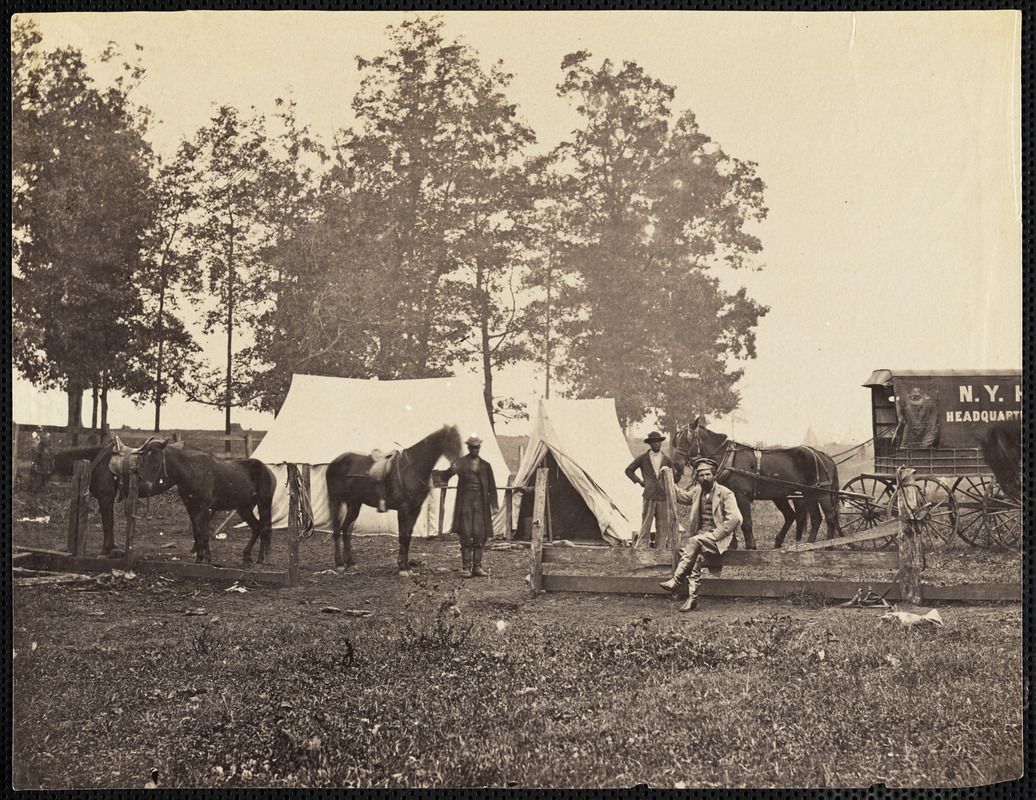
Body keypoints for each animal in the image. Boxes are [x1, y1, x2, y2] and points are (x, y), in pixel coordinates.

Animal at [135, 441, 277, 563]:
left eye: (155, 459)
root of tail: (268, 471)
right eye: (142, 458)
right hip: (244, 508)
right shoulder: (191, 508)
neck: (191, 472)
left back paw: (260, 558)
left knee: (263, 528)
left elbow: (204, 534)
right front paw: (199, 557)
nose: (143, 483)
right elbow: (197, 533)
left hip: (263, 504)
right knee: (257, 527)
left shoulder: (204, 508)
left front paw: (207, 558)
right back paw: (248, 556)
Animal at [325, 424, 464, 576]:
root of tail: (334, 463)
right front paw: (402, 568)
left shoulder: (415, 509)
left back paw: (350, 563)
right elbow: (402, 536)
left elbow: (407, 536)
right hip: (335, 501)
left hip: (354, 504)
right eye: (452, 441)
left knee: (345, 529)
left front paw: (407, 567)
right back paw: (339, 564)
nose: (459, 466)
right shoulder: (403, 509)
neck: (411, 469)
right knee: (337, 529)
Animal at [671, 418, 841, 551]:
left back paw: (829, 545)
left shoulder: (742, 496)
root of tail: (823, 455)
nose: (676, 466)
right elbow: (730, 521)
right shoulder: (730, 496)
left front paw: (751, 545)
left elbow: (746, 522)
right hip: (806, 494)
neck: (729, 459)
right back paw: (808, 544)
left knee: (830, 516)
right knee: (812, 518)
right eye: (676, 441)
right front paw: (732, 545)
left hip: (821, 492)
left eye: (688, 439)